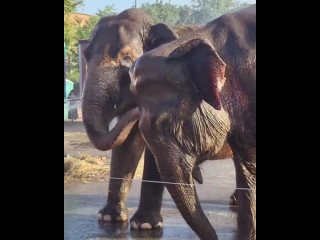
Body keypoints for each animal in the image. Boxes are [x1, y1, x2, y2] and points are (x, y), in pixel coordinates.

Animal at [81, 7, 234, 232]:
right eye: (86, 55)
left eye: (127, 58)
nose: (133, 108)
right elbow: (127, 144)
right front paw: (109, 217)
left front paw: (144, 224)